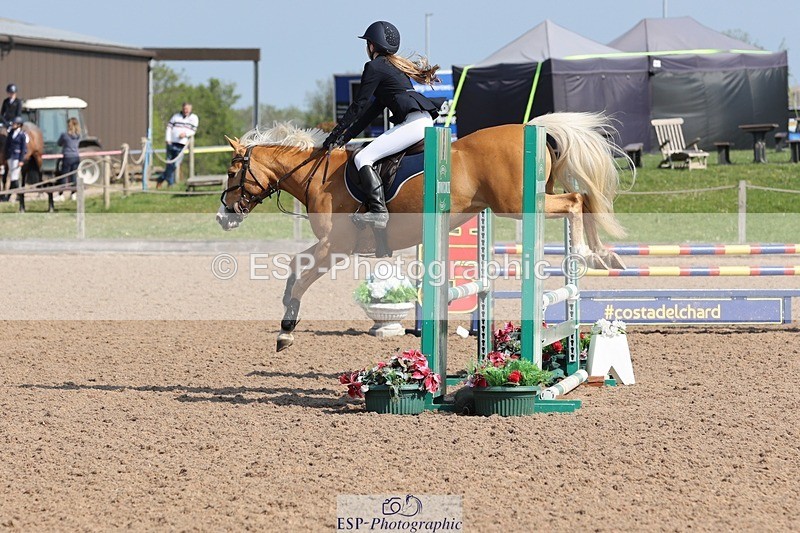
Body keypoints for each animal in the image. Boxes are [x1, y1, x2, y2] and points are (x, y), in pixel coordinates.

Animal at [216, 112, 632, 352]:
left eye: (233, 171)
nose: (223, 217)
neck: (317, 175)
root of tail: (533, 130)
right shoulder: (330, 245)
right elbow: (293, 267)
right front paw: (287, 312)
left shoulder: (336, 246)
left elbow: (303, 278)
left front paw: (286, 331)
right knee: (583, 198)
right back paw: (603, 255)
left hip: (516, 204)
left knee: (576, 200)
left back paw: (585, 253)